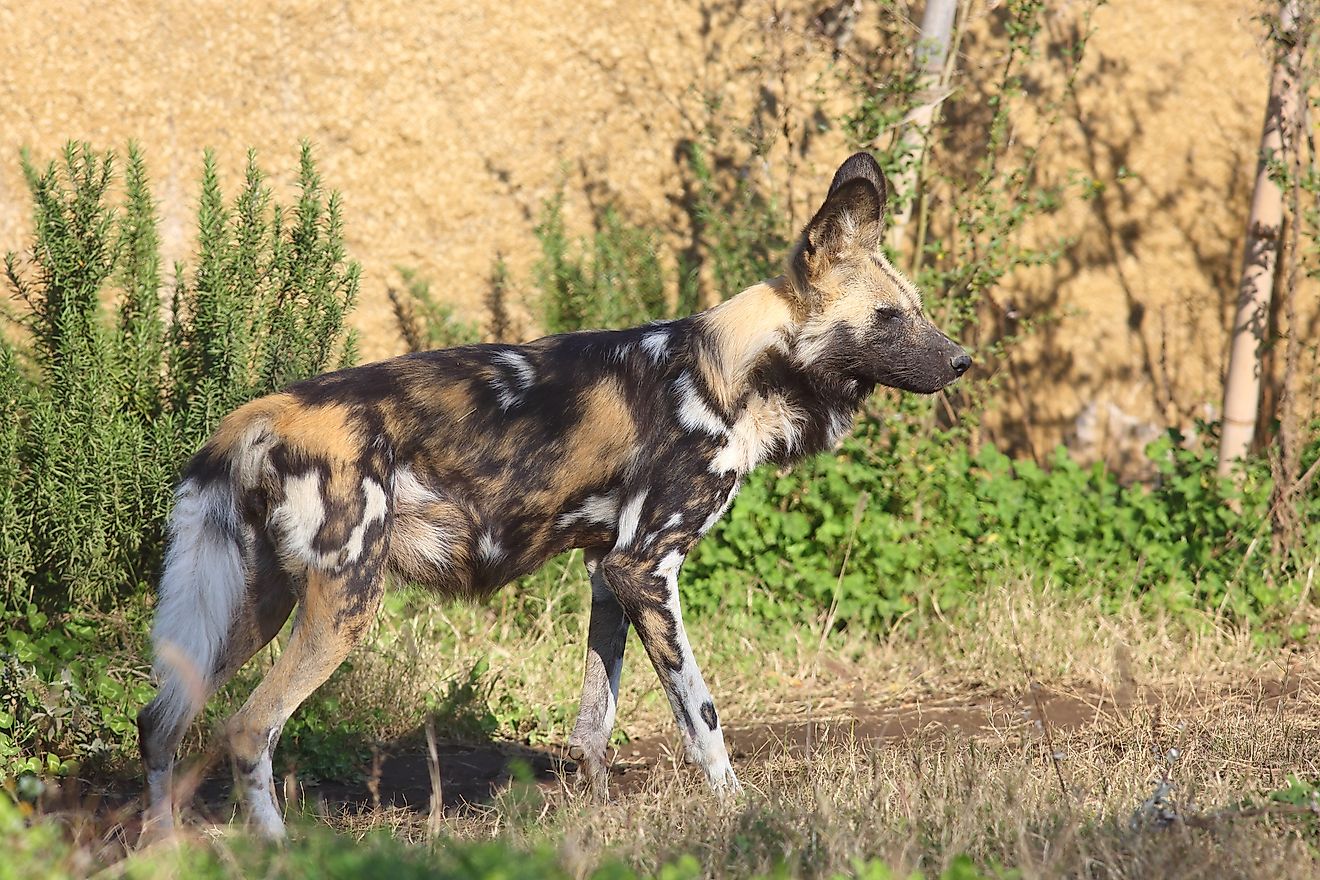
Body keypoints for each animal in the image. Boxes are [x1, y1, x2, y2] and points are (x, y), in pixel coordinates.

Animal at [139, 151, 971, 839]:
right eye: (889, 318)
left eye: (919, 309)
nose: (964, 360)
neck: (730, 372)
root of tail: (259, 414)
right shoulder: (648, 569)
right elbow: (702, 716)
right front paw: (739, 811)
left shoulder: (610, 572)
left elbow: (593, 726)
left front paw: (596, 823)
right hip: (344, 601)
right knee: (249, 729)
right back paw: (279, 850)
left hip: (258, 605)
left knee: (159, 722)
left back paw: (161, 847)